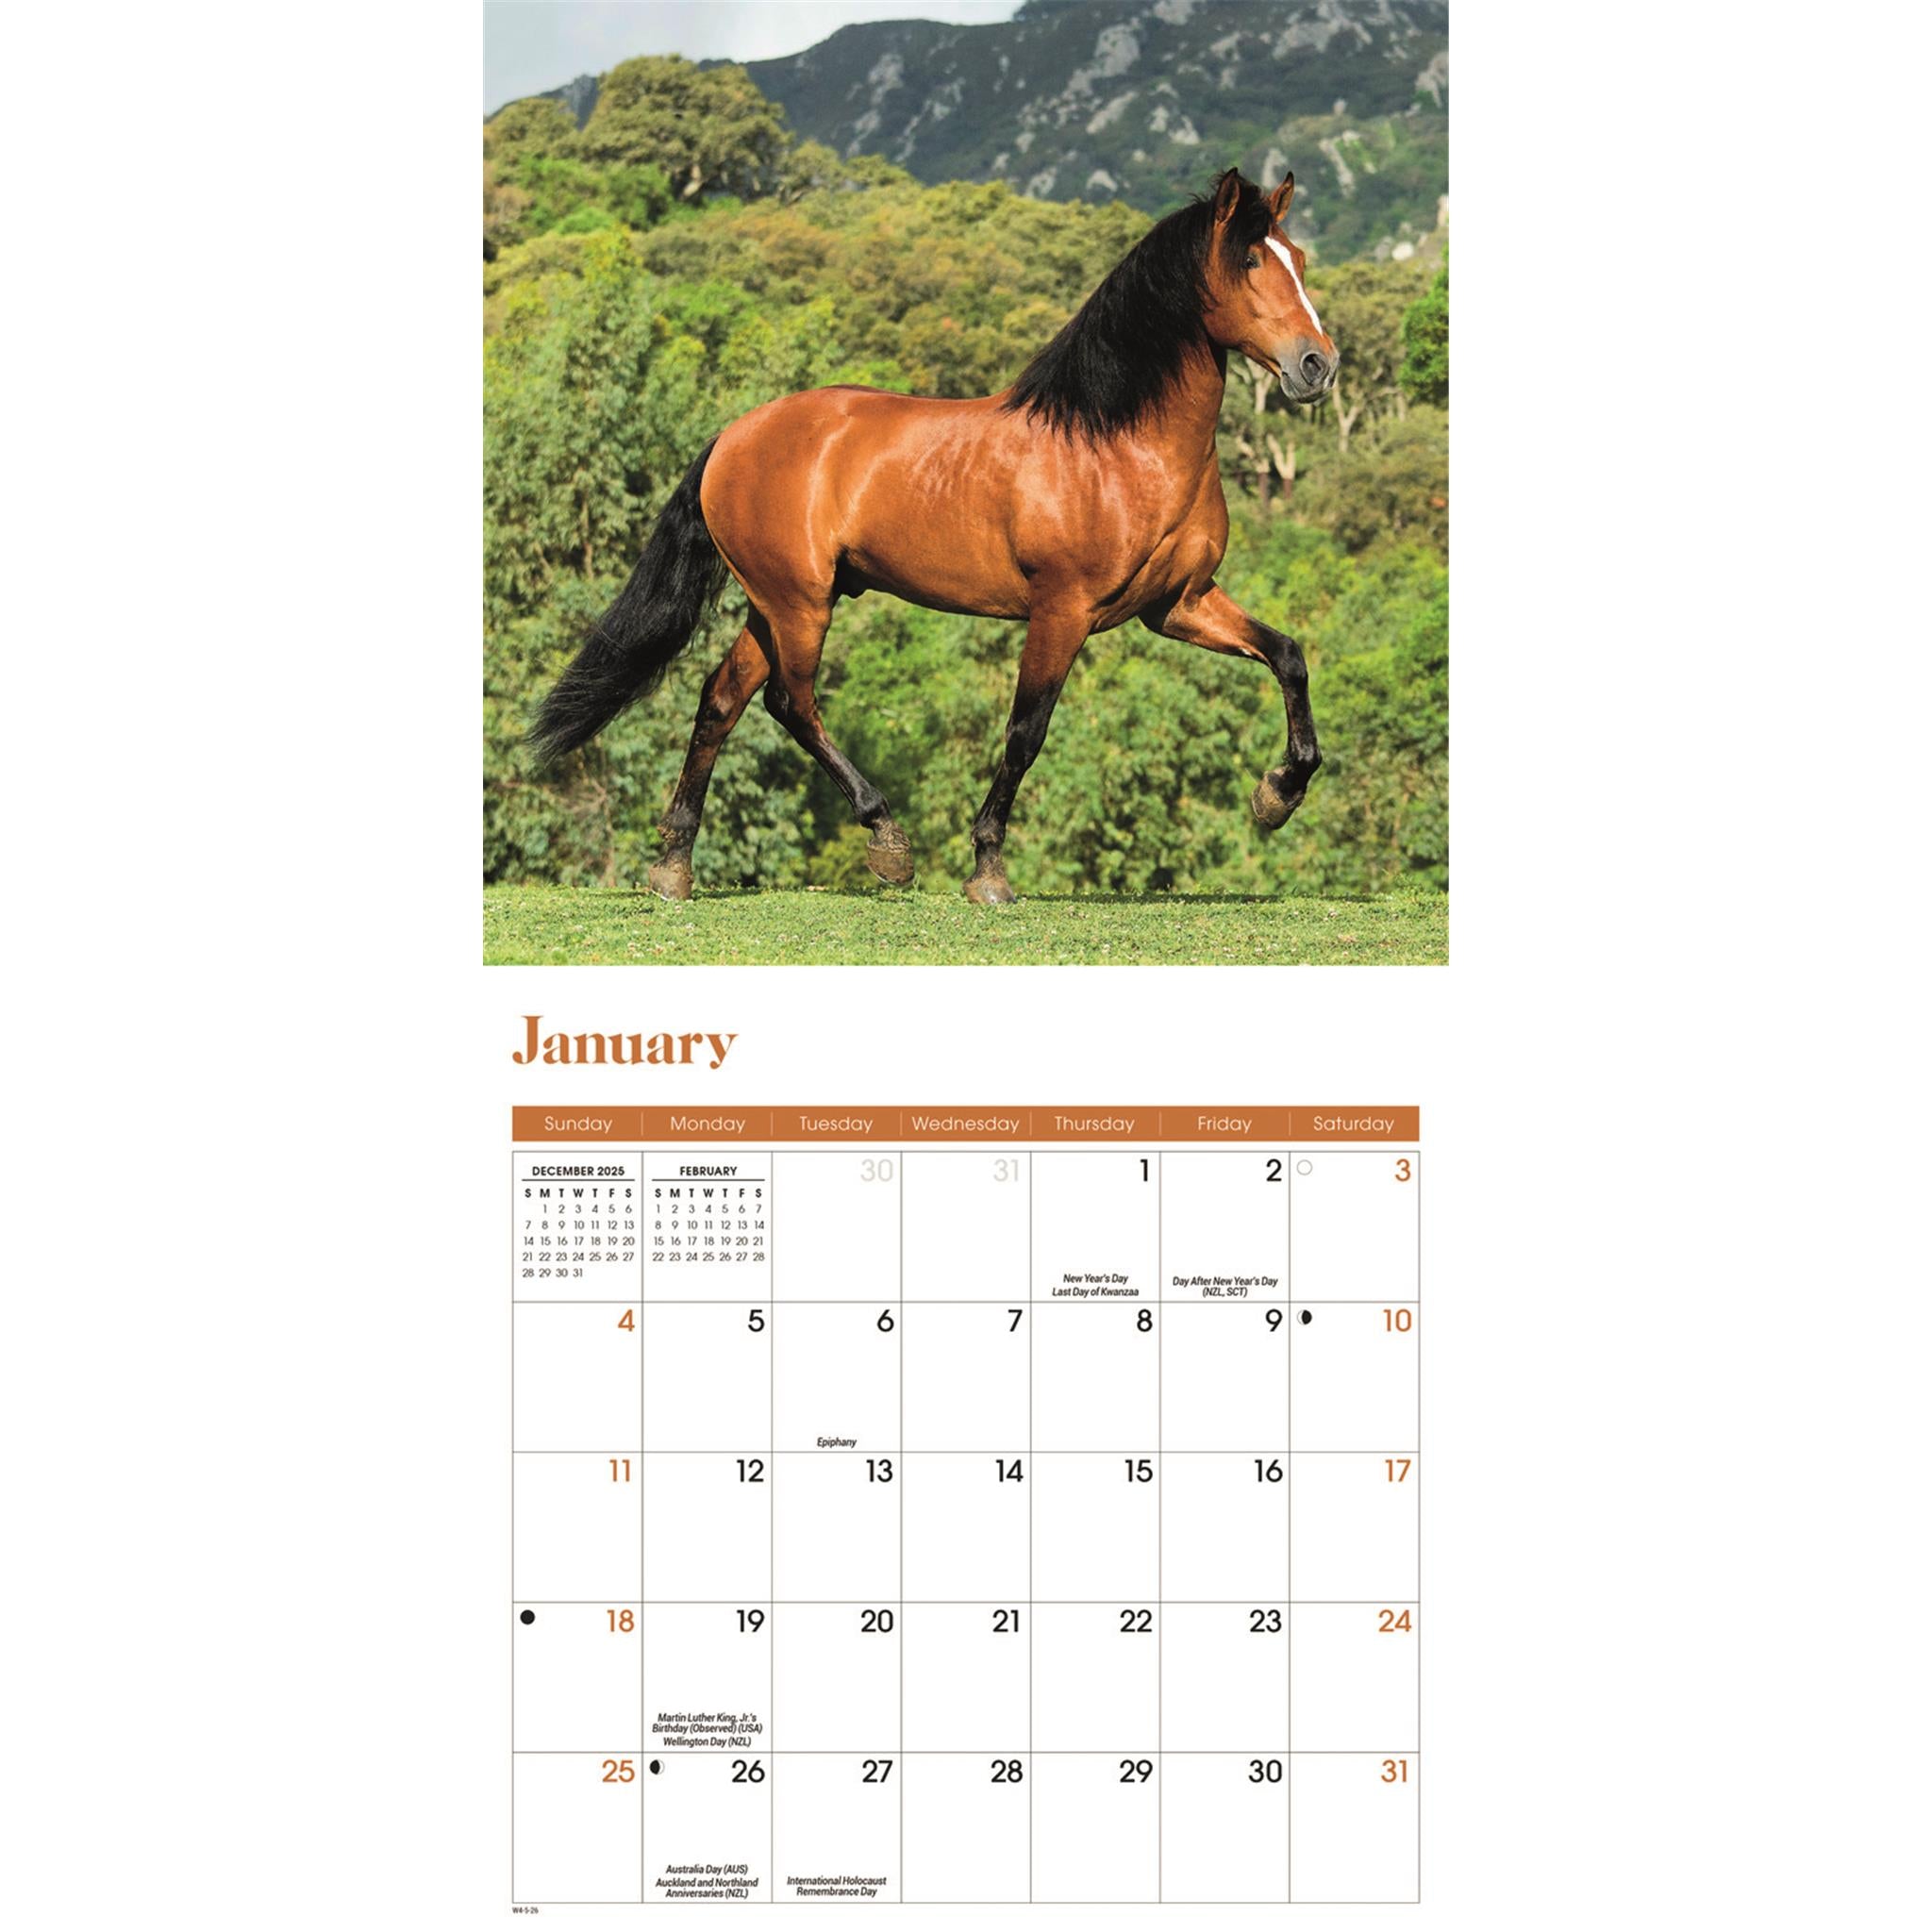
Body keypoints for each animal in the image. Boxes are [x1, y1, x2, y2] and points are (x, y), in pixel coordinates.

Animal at [530, 167, 1337, 904]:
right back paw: (886, 839)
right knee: (791, 703)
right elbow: (1025, 733)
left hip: (775, 605)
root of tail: (733, 436)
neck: (1115, 445)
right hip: (800, 604)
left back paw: (674, 867)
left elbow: (1288, 657)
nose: (1317, 365)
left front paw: (1278, 793)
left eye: (1298, 256)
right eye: (1251, 261)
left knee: (720, 701)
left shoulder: (1178, 605)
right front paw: (988, 870)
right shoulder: (1062, 612)